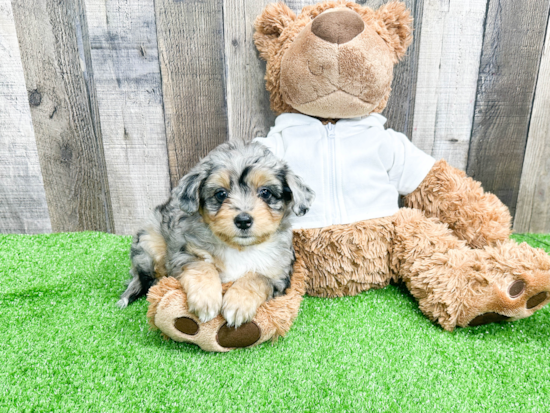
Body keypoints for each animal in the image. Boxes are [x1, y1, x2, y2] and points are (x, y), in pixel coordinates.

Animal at [117, 140, 314, 326]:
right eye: (221, 194)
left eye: (265, 192)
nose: (243, 220)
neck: (240, 248)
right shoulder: (184, 254)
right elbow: (203, 267)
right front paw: (206, 300)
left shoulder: (278, 273)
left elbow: (256, 277)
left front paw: (238, 303)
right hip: (150, 245)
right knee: (142, 278)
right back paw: (127, 296)